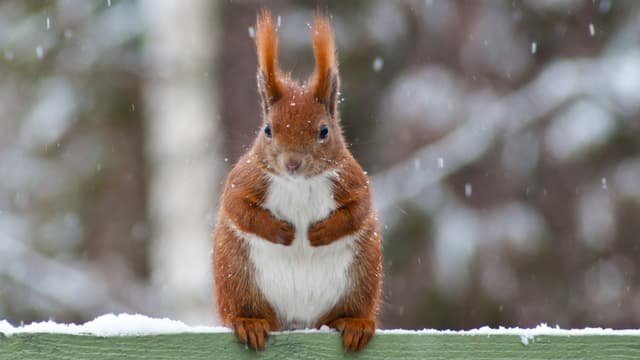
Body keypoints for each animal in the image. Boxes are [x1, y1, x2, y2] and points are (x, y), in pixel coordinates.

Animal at [212, 8, 382, 352]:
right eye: (267, 129)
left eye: (324, 131)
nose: (292, 163)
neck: (299, 183)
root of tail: (298, 321)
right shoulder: (244, 178)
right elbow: (238, 207)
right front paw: (282, 232)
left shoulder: (353, 181)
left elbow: (358, 210)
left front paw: (320, 233)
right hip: (236, 275)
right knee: (246, 309)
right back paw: (249, 322)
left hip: (362, 276)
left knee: (345, 312)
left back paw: (353, 323)